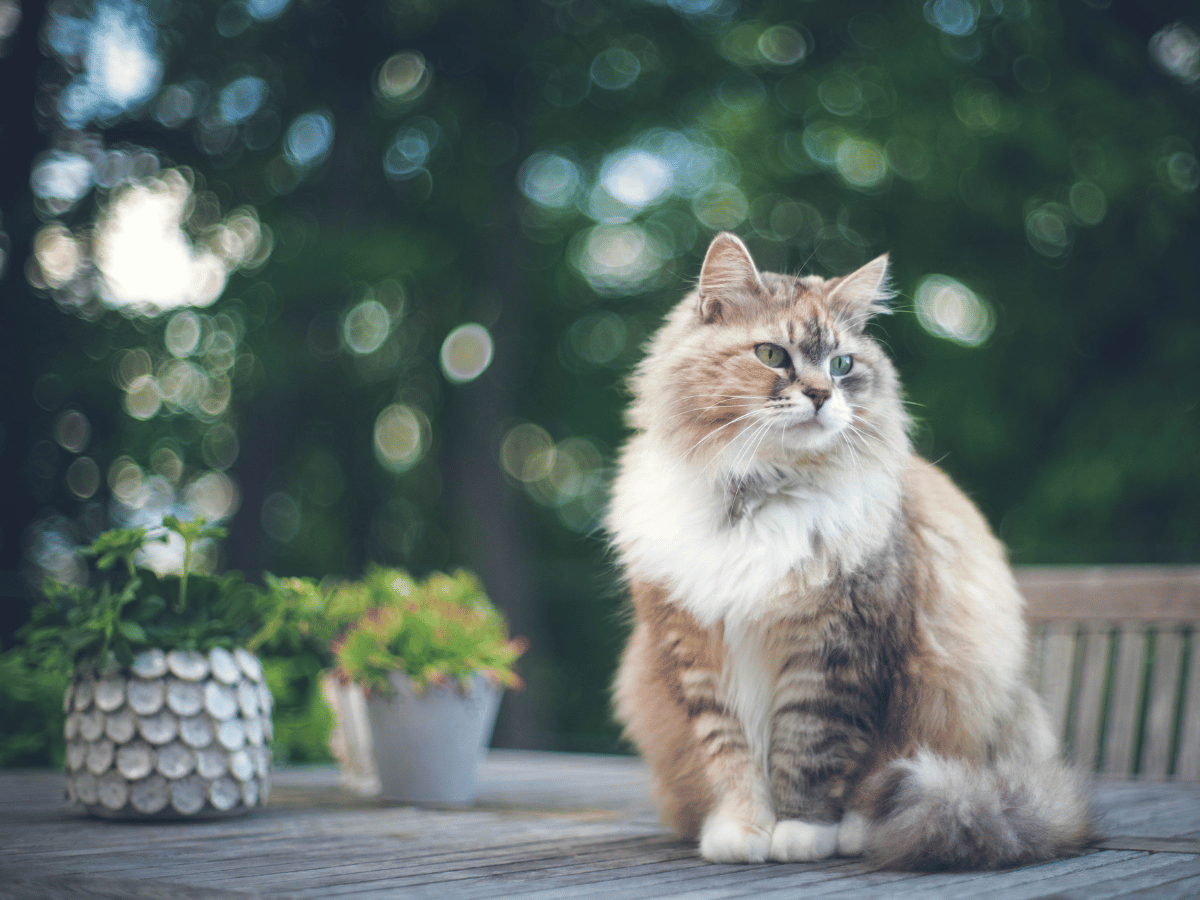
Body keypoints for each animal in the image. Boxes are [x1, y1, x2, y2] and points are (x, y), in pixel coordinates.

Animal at [609, 232, 1089, 873]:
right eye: (771, 355)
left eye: (842, 365)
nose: (819, 395)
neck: (758, 497)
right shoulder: (700, 655)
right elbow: (733, 760)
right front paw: (743, 831)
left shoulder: (836, 652)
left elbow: (809, 754)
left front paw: (801, 834)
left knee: (891, 781)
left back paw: (861, 830)